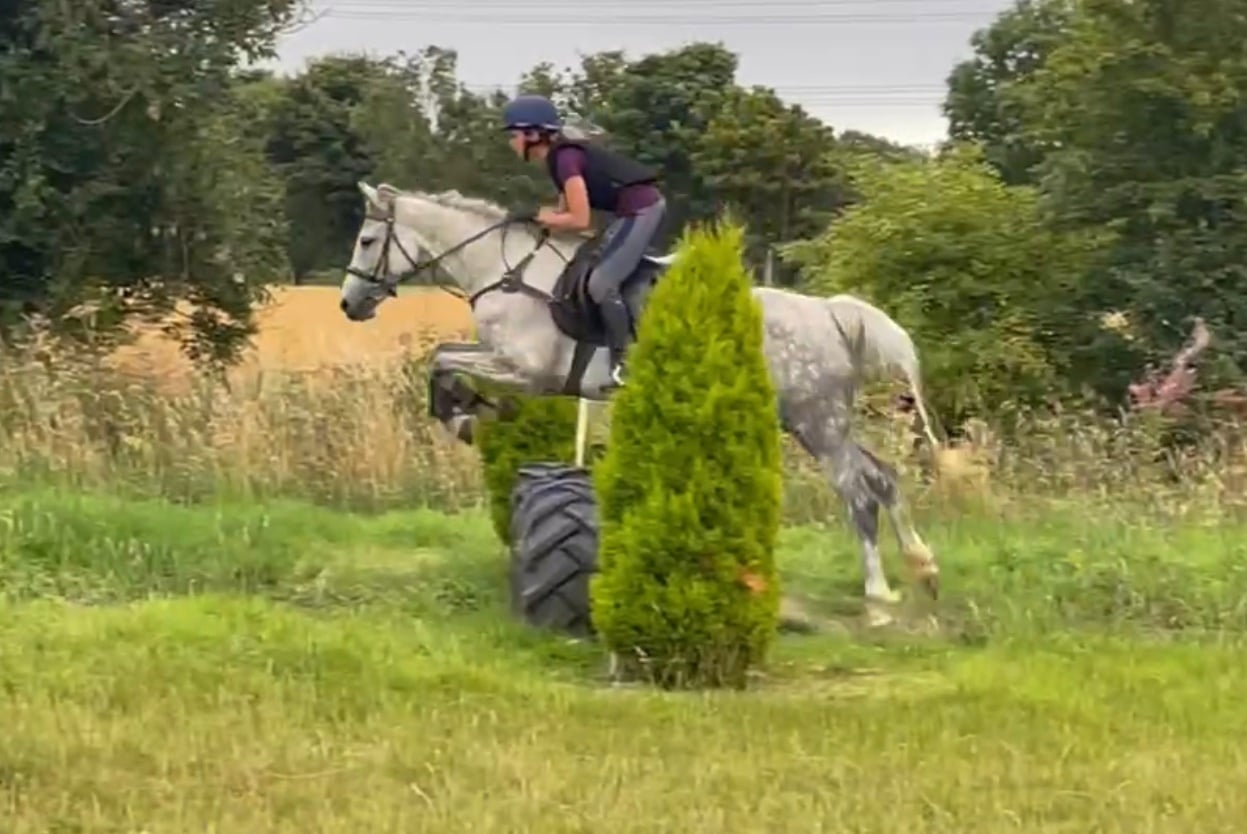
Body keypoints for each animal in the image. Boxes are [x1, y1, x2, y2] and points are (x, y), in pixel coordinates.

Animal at [340, 180, 943, 623]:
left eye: (367, 241)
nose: (348, 305)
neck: (506, 272)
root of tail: (830, 313)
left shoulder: (527, 371)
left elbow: (442, 360)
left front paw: (467, 413)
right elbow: (443, 356)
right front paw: (473, 409)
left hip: (815, 420)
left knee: (857, 492)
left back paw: (878, 594)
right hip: (818, 420)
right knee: (883, 476)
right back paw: (924, 568)